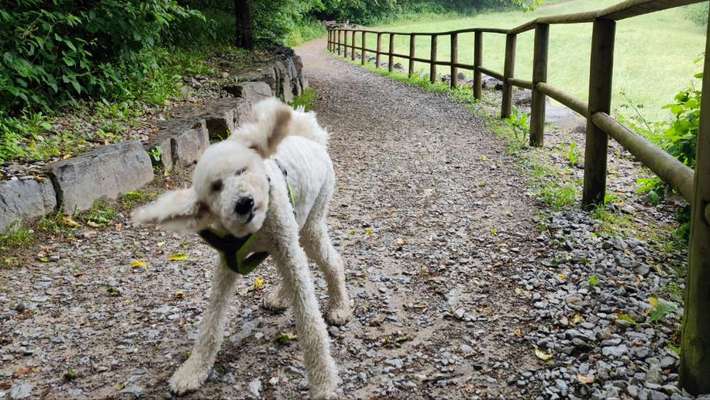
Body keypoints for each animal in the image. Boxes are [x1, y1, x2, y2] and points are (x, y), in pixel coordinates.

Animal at [132, 98, 352, 398]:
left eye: (242, 170)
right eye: (216, 187)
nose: (244, 203)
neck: (252, 231)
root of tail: (311, 137)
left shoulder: (283, 243)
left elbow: (310, 324)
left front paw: (323, 384)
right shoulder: (228, 261)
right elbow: (212, 321)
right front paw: (194, 370)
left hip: (310, 224)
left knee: (331, 261)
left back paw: (339, 307)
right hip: (293, 233)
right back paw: (281, 296)